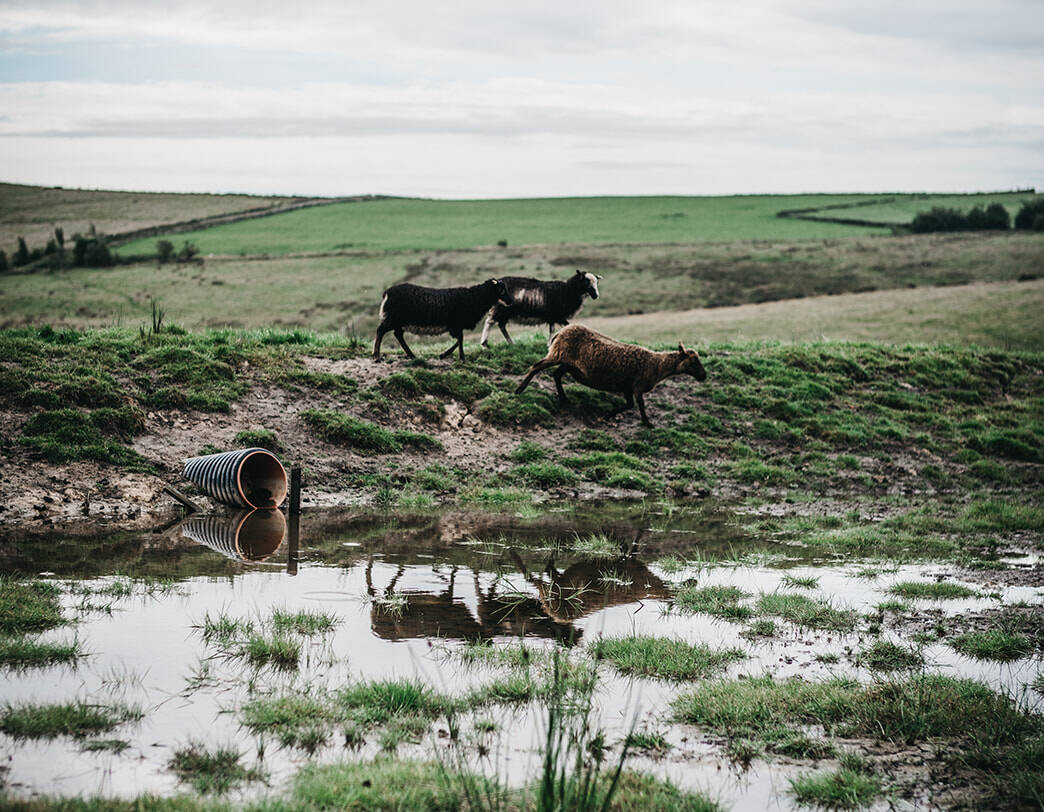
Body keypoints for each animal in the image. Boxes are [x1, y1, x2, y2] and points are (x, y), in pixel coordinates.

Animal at [373, 279, 511, 363]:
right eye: (501, 290)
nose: (510, 302)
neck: (475, 298)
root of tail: (387, 292)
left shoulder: (455, 326)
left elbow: (459, 340)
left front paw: (444, 354)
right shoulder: (456, 324)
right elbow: (461, 339)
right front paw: (461, 358)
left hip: (398, 321)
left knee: (398, 335)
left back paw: (411, 355)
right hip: (393, 318)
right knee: (380, 330)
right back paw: (376, 355)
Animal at [515, 323, 705, 427]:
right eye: (694, 361)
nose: (704, 376)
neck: (657, 365)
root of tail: (561, 332)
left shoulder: (628, 387)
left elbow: (629, 405)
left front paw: (608, 415)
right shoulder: (638, 386)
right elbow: (640, 405)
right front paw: (647, 423)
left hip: (569, 364)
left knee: (556, 374)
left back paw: (564, 398)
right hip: (558, 354)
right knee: (537, 366)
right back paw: (520, 389)